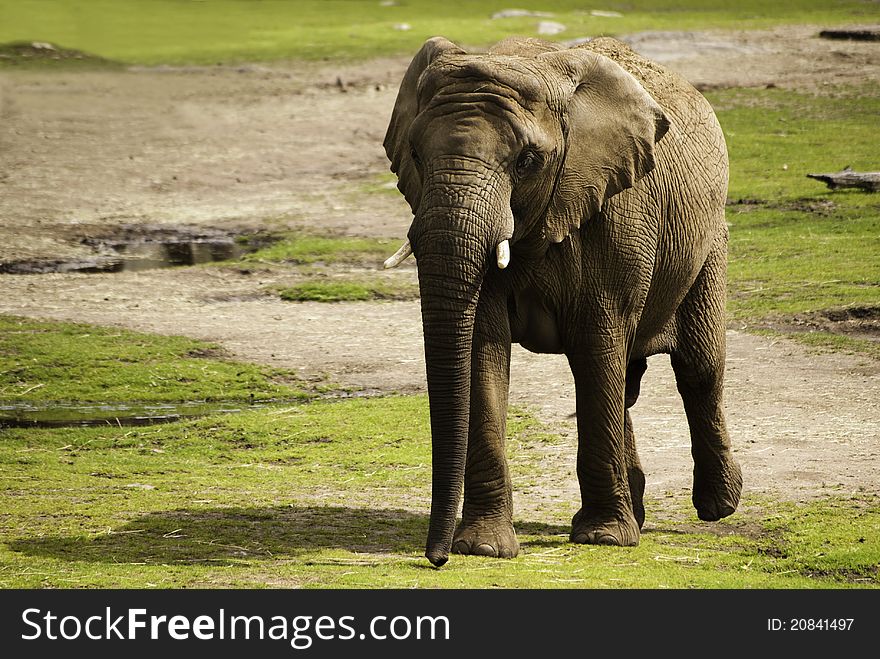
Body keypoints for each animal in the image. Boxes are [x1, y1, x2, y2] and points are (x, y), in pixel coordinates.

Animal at [382, 36, 740, 568]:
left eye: (527, 161)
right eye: (414, 155)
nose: (437, 558)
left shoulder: (616, 216)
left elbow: (597, 342)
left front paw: (604, 539)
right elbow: (482, 350)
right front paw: (483, 547)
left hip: (710, 240)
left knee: (698, 368)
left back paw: (718, 507)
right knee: (626, 382)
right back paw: (638, 509)